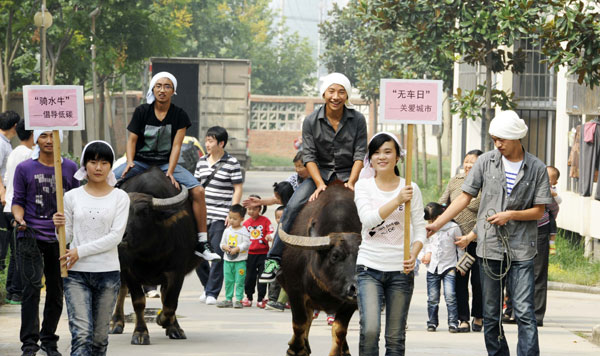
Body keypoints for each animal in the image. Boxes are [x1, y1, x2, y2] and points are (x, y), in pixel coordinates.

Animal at [108, 167, 202, 344]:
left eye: (143, 212)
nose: (122, 236)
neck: (149, 251)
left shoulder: (177, 271)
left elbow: (170, 303)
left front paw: (167, 323)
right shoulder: (128, 269)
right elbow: (138, 302)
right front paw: (140, 333)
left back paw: (174, 327)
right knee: (121, 290)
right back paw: (115, 323)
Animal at [276, 182, 360, 356]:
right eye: (335, 256)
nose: (355, 289)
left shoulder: (351, 304)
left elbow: (339, 330)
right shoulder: (295, 292)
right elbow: (300, 324)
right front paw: (296, 349)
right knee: (307, 319)